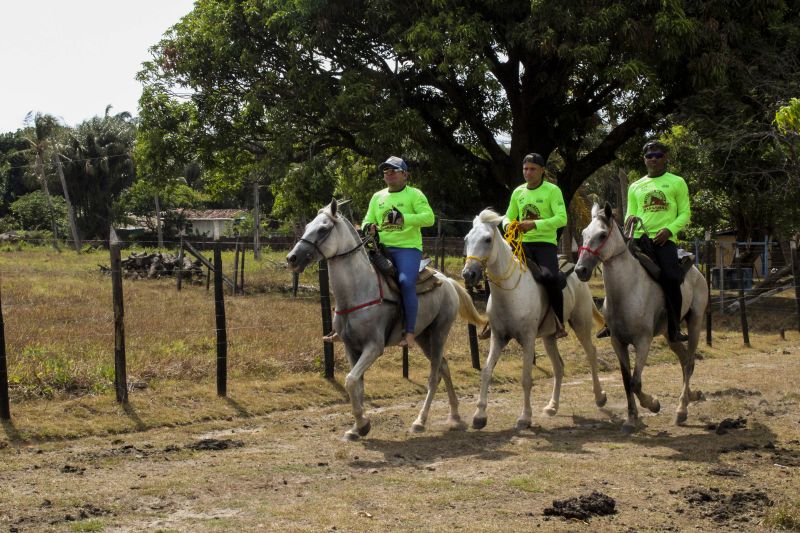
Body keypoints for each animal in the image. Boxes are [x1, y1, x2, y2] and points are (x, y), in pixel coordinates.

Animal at [286, 199, 488, 441]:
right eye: (308, 226)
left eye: (323, 229)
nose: (292, 258)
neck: (360, 289)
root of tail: (448, 281)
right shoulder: (350, 347)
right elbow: (357, 385)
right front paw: (357, 427)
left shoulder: (374, 347)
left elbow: (350, 380)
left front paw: (362, 423)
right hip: (423, 336)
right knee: (444, 367)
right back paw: (455, 416)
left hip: (439, 332)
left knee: (434, 375)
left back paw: (420, 421)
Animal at [461, 209, 607, 431]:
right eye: (467, 239)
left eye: (487, 239)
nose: (469, 273)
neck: (510, 292)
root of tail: (576, 269)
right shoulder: (498, 337)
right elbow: (486, 371)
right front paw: (479, 415)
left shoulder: (528, 339)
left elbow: (526, 378)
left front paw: (525, 417)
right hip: (549, 337)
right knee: (559, 367)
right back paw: (552, 407)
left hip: (581, 324)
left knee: (591, 353)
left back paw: (599, 397)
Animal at [574, 203, 708, 433]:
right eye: (583, 234)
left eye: (602, 235)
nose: (580, 270)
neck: (627, 291)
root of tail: (696, 271)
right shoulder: (617, 342)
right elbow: (626, 380)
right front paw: (631, 418)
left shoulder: (643, 341)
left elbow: (636, 382)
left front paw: (653, 404)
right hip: (670, 334)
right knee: (683, 361)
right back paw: (692, 395)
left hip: (695, 323)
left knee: (690, 362)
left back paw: (681, 409)